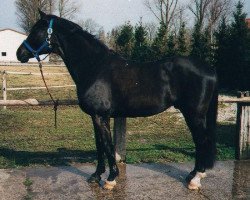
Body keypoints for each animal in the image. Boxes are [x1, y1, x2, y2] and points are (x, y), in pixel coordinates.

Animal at [17, 11, 217, 191]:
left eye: (36, 30)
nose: (20, 53)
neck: (95, 67)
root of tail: (209, 70)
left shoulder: (101, 116)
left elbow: (107, 146)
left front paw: (111, 179)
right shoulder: (95, 117)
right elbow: (99, 146)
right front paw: (96, 175)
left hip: (194, 115)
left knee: (201, 141)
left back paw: (195, 179)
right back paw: (193, 175)